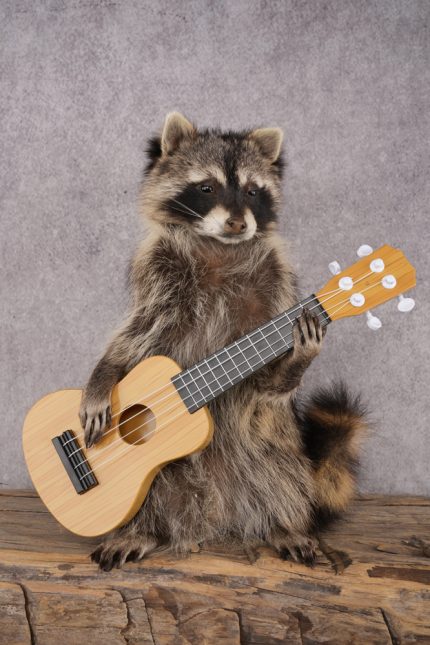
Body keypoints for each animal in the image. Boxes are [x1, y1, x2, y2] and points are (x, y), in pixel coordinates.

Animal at [81, 112, 367, 572]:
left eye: (252, 190)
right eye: (206, 187)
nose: (237, 222)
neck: (219, 246)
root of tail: (218, 513)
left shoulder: (276, 277)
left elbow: (267, 378)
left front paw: (295, 360)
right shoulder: (157, 272)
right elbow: (135, 335)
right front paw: (103, 375)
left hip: (273, 448)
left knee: (281, 474)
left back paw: (284, 524)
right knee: (146, 497)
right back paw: (139, 529)